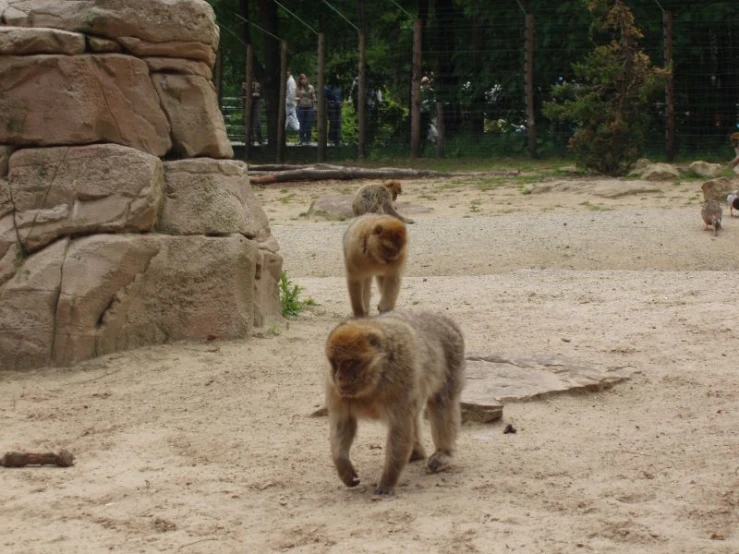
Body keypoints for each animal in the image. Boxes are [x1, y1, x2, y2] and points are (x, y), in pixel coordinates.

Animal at [326, 308, 466, 494]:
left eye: (349, 361)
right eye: (336, 362)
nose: (339, 377)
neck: (376, 377)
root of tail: (440, 318)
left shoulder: (402, 373)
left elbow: (399, 426)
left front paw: (387, 482)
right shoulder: (334, 388)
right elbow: (343, 423)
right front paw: (344, 469)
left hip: (453, 357)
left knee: (442, 402)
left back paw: (444, 453)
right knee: (416, 413)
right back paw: (416, 452)